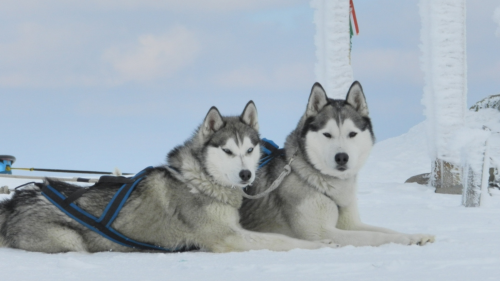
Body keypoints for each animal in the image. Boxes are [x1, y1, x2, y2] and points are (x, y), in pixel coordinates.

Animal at [1, 101, 336, 252]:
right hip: (70, 240)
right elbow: (280, 240)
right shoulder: (228, 237)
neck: (201, 181)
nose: (245, 174)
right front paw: (320, 245)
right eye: (228, 151)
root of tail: (15, 201)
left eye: (250, 149)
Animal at [240, 82, 436, 245]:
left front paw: (415, 236)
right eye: (327, 134)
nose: (342, 157)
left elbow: (384, 229)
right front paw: (404, 239)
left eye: (352, 134)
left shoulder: (351, 224)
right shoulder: (320, 232)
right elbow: (373, 235)